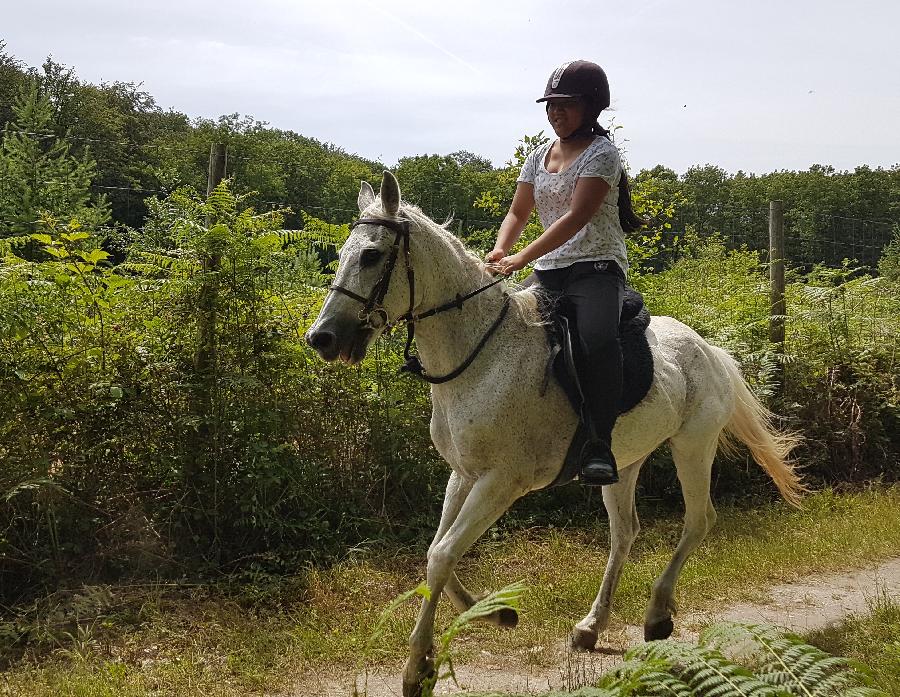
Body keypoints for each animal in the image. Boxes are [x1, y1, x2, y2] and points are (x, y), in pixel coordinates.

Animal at [306, 170, 804, 696]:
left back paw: (657, 615)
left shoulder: (500, 482)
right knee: (625, 533)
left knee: (698, 520)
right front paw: (495, 613)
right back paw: (590, 626)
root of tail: (709, 349)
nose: (322, 339)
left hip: (693, 446)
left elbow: (442, 554)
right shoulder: (464, 474)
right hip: (624, 463)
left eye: (371, 255)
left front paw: (418, 668)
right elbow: (438, 552)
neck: (481, 356)